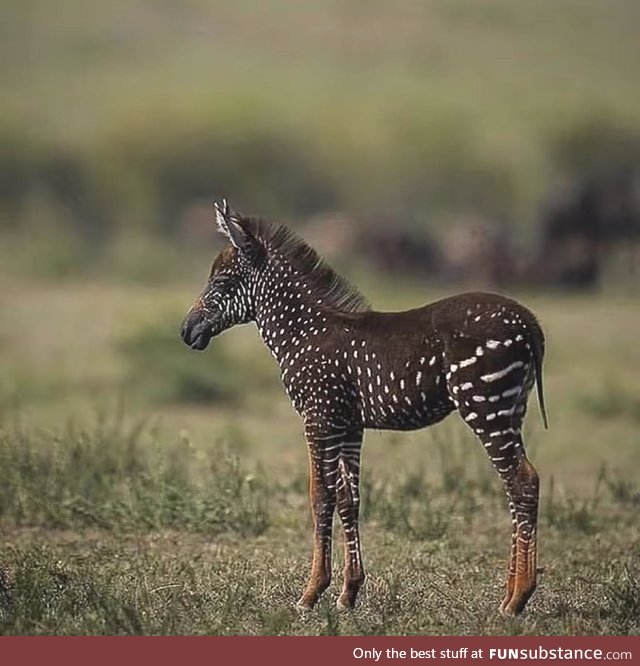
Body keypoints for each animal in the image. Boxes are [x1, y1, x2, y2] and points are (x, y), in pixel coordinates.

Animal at [181, 200, 552, 616]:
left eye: (221, 284)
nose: (186, 331)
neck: (302, 331)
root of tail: (530, 322)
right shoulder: (349, 424)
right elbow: (349, 498)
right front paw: (348, 592)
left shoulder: (318, 418)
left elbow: (320, 495)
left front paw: (311, 592)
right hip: (510, 410)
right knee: (517, 485)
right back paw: (509, 594)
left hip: (485, 408)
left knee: (522, 481)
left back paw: (518, 599)